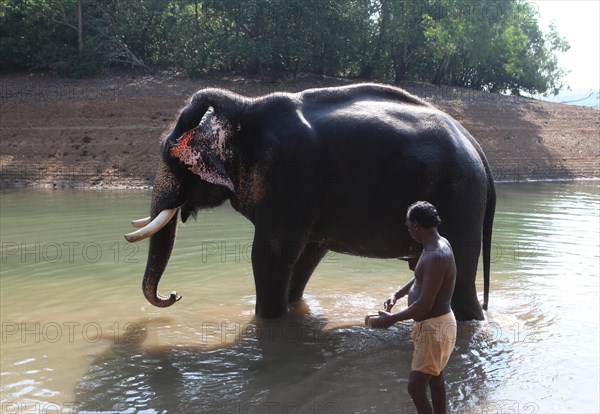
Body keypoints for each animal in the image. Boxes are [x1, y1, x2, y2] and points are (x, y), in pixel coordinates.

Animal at [123, 83, 496, 320]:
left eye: (171, 155)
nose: (174, 295)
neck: (244, 106)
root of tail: (477, 148)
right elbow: (306, 255)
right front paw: (292, 311)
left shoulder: (287, 177)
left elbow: (271, 254)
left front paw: (268, 322)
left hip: (460, 199)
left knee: (461, 282)